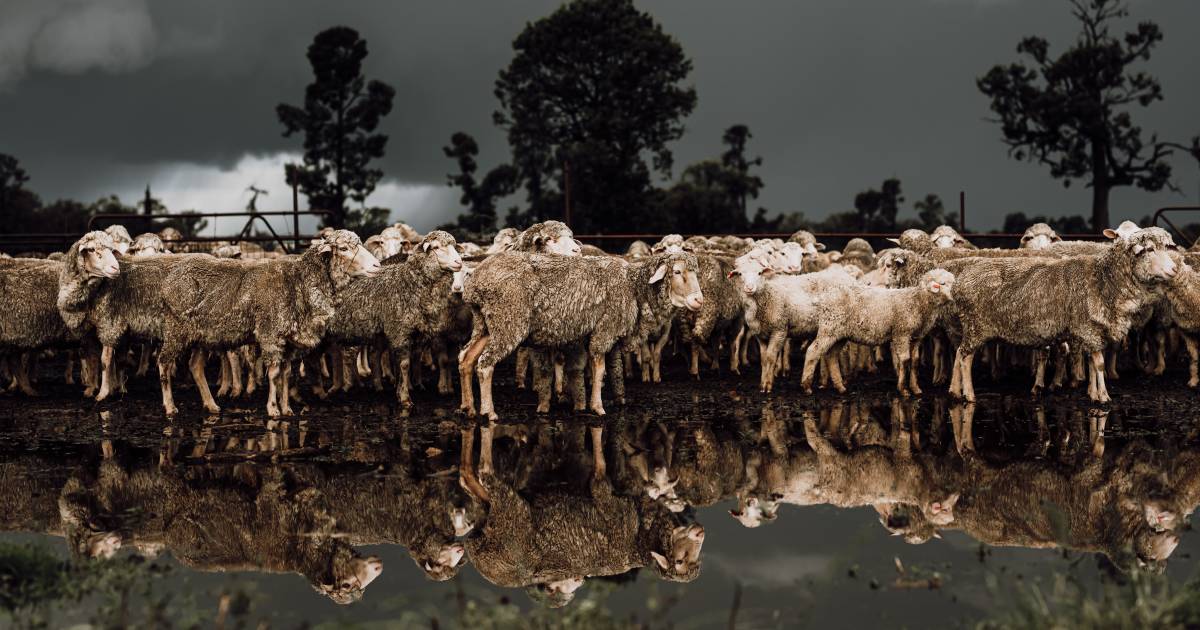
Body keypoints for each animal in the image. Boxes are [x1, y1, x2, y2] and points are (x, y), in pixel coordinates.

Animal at [154, 228, 379, 415]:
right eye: (343, 248)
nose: (377, 265)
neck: (298, 281)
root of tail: (168, 280)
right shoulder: (271, 333)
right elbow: (273, 373)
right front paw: (273, 409)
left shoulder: (287, 340)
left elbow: (286, 373)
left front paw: (287, 408)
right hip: (176, 329)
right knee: (164, 363)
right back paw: (170, 406)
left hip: (201, 334)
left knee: (195, 366)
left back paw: (211, 405)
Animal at [324, 229, 463, 403]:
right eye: (436, 247)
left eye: (454, 246)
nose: (459, 262)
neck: (410, 281)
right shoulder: (400, 330)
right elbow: (403, 364)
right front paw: (404, 397)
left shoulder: (415, 332)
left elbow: (411, 359)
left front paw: (406, 386)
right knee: (348, 355)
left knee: (368, 354)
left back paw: (372, 385)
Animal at [458, 249, 700, 417]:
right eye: (677, 272)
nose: (699, 300)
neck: (634, 287)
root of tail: (475, 283)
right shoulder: (605, 329)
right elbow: (599, 369)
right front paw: (598, 407)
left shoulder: (596, 333)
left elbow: (600, 370)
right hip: (508, 320)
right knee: (485, 364)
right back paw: (488, 411)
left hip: (485, 324)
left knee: (466, 359)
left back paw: (468, 407)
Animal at [796, 267, 955, 396]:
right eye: (942, 283)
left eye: (952, 283)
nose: (952, 299)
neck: (919, 302)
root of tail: (823, 298)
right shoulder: (901, 333)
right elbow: (905, 360)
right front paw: (903, 389)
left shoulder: (916, 337)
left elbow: (914, 361)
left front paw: (916, 388)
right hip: (829, 328)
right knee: (813, 351)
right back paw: (806, 386)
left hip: (839, 334)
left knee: (832, 356)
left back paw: (840, 387)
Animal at [945, 228, 1180, 400]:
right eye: (1149, 250)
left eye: (1166, 247)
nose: (1175, 270)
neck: (1104, 279)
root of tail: (959, 283)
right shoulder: (1088, 328)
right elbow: (1099, 363)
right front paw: (1103, 397)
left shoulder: (1091, 331)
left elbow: (1093, 363)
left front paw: (1092, 392)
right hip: (977, 325)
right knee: (965, 357)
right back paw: (969, 395)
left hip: (971, 326)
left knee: (958, 353)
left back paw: (954, 391)